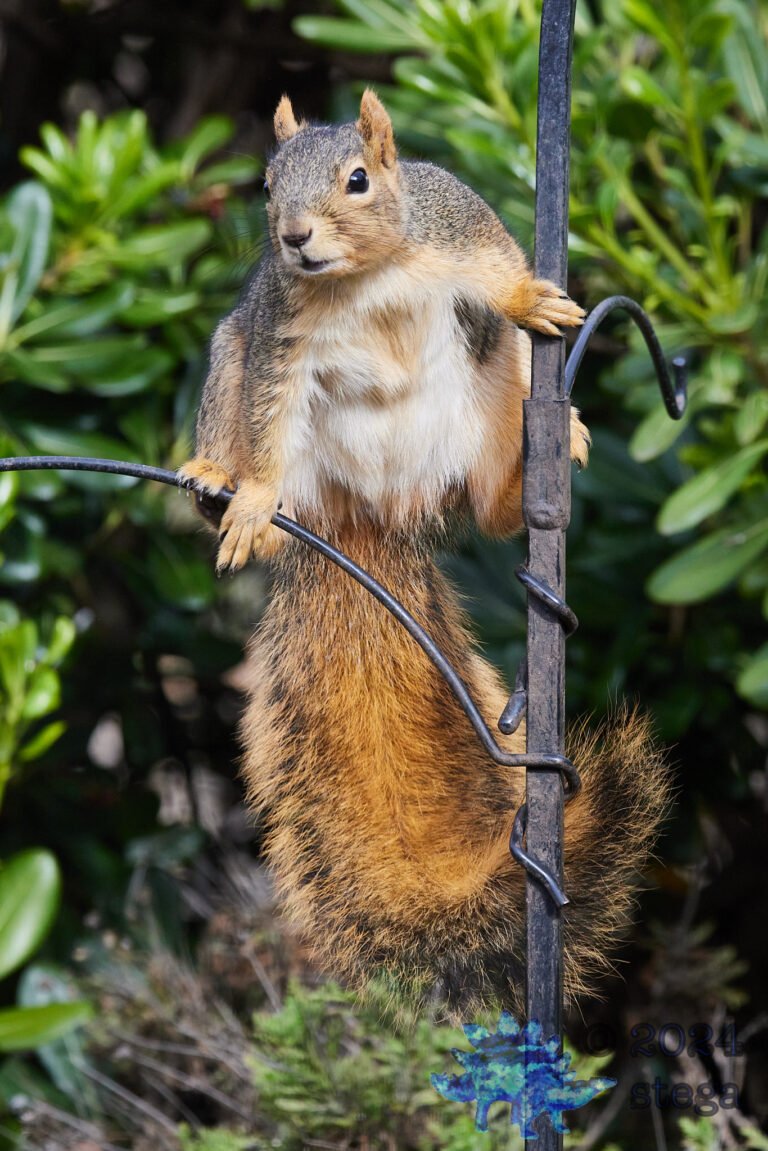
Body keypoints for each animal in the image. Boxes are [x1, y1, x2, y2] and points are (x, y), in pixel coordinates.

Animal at [180, 90, 669, 1017]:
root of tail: (364, 511)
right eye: (266, 184)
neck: (360, 277)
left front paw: (535, 297)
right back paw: (217, 477)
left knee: (489, 505)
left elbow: (497, 264)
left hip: (488, 391)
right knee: (244, 426)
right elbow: (269, 410)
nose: (293, 238)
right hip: (232, 360)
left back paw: (536, 466)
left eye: (358, 180)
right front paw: (251, 495)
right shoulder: (279, 339)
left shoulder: (453, 227)